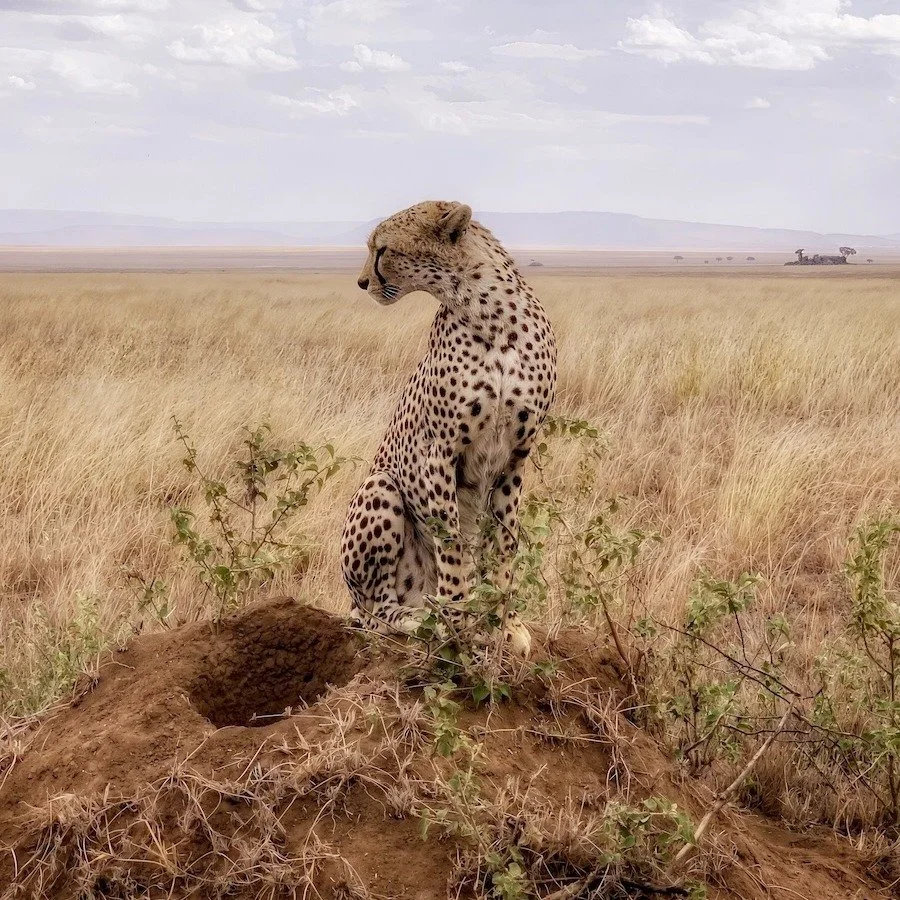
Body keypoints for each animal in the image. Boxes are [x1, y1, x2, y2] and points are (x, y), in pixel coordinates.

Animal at [340, 200, 557, 656]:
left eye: (382, 249)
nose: (362, 281)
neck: (488, 313)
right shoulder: (437, 451)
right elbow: (453, 542)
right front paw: (459, 624)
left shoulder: (516, 457)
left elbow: (505, 543)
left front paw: (504, 624)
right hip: (381, 484)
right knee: (375, 612)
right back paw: (423, 619)